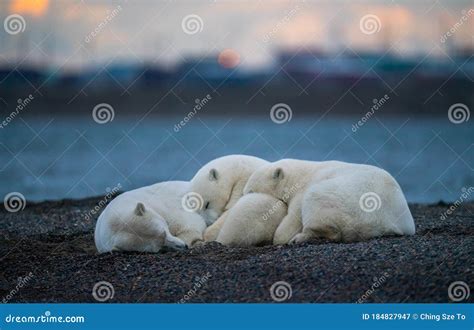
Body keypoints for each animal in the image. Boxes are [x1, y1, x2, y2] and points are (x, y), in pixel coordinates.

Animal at [244, 159, 414, 244]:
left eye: (250, 191)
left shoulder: (302, 189)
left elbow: (293, 218)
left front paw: (282, 237)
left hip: (344, 201)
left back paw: (301, 237)